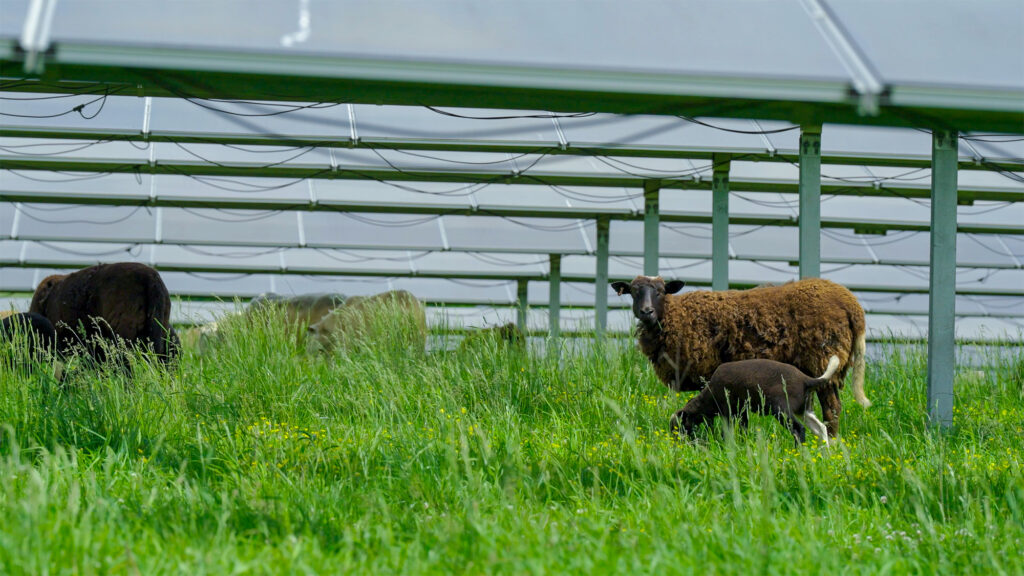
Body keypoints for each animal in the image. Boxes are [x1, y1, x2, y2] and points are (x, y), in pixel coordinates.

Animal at [611, 275, 869, 437]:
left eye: (661, 291)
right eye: (634, 292)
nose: (646, 311)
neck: (674, 315)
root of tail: (852, 305)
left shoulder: (708, 375)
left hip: (822, 358)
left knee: (832, 410)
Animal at [670, 355, 840, 446]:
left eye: (679, 427)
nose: (676, 444)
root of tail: (807, 380)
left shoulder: (727, 411)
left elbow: (727, 432)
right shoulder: (742, 412)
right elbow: (743, 430)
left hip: (781, 410)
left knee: (799, 430)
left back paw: (799, 452)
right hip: (804, 410)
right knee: (821, 429)